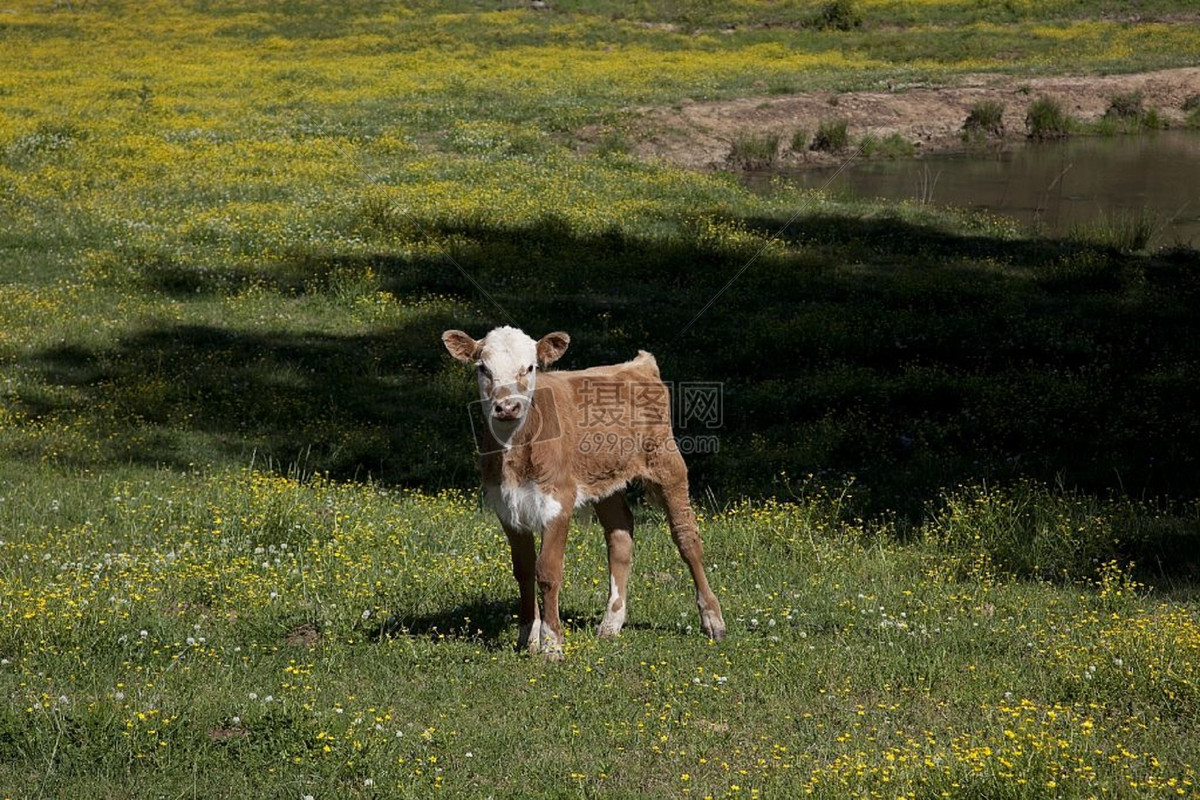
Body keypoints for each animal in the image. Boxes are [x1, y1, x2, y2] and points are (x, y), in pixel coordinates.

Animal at [439, 326, 720, 657]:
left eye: (530, 367)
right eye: (483, 368)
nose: (507, 407)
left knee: (686, 538)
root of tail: (638, 365)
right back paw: (611, 623)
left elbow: (547, 571)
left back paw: (713, 619)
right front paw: (527, 637)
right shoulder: (506, 506)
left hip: (668, 464)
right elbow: (523, 570)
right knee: (620, 536)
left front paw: (551, 644)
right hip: (605, 480)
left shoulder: (559, 501)